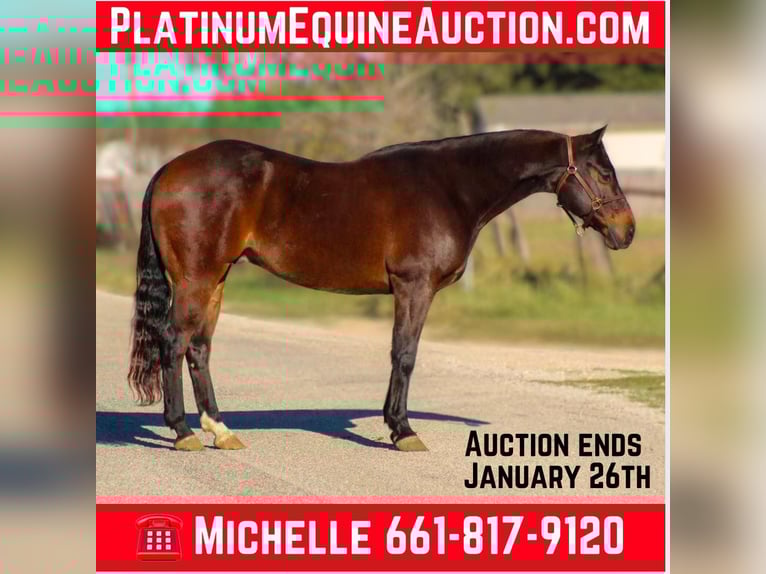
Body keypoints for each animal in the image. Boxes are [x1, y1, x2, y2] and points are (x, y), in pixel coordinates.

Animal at [127, 126, 635, 452]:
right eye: (602, 172)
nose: (627, 231)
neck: (449, 186)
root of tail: (169, 169)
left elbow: (400, 355)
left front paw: (396, 425)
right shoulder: (415, 287)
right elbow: (404, 354)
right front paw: (403, 430)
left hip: (215, 279)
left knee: (199, 349)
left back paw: (220, 430)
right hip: (195, 280)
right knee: (173, 342)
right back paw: (183, 433)